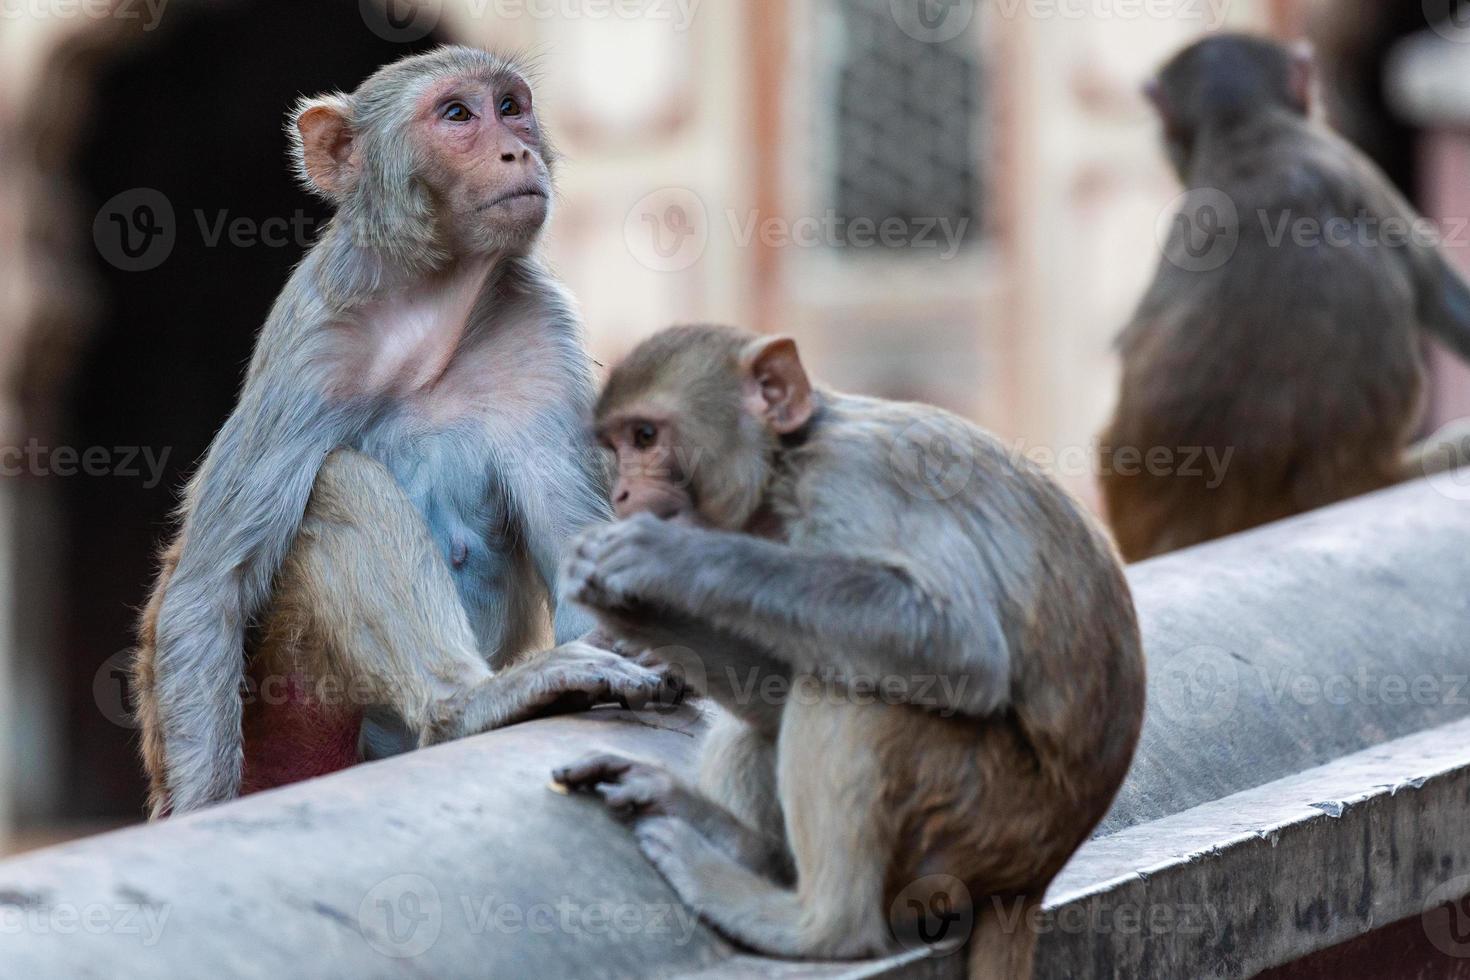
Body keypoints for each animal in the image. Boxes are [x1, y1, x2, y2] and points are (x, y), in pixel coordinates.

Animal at [132, 49, 673, 822]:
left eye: (511, 108)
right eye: (457, 115)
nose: (517, 149)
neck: (428, 306)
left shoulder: (542, 330)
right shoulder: (309, 347)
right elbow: (208, 590)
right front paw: (203, 811)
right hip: (292, 716)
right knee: (336, 484)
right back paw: (467, 704)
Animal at [552, 327, 1146, 975]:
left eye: (645, 436)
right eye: (616, 445)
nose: (621, 492)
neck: (788, 464)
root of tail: (1030, 878)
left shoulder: (854, 482)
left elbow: (960, 646)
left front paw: (666, 559)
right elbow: (782, 686)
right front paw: (629, 611)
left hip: (982, 816)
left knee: (858, 697)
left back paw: (818, 927)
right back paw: (742, 848)